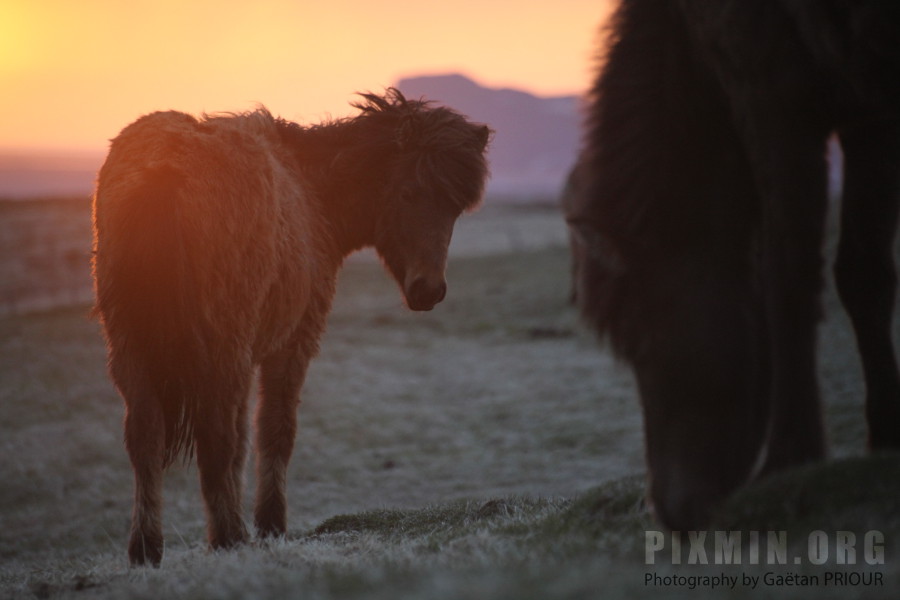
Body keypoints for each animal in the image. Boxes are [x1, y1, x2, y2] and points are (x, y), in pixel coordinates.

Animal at [91, 86, 492, 564]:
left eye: (456, 208)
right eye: (410, 191)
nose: (429, 290)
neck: (311, 188)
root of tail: (164, 168)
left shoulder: (247, 357)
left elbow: (244, 442)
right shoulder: (292, 343)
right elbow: (274, 431)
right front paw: (270, 525)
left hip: (131, 347)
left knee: (146, 437)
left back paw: (148, 549)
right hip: (220, 350)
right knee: (214, 437)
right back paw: (229, 537)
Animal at [568, 0, 900, 528]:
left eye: (641, 341)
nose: (670, 510)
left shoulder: (774, 101)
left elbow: (789, 279)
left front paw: (790, 456)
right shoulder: (870, 115)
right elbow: (865, 276)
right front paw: (886, 435)